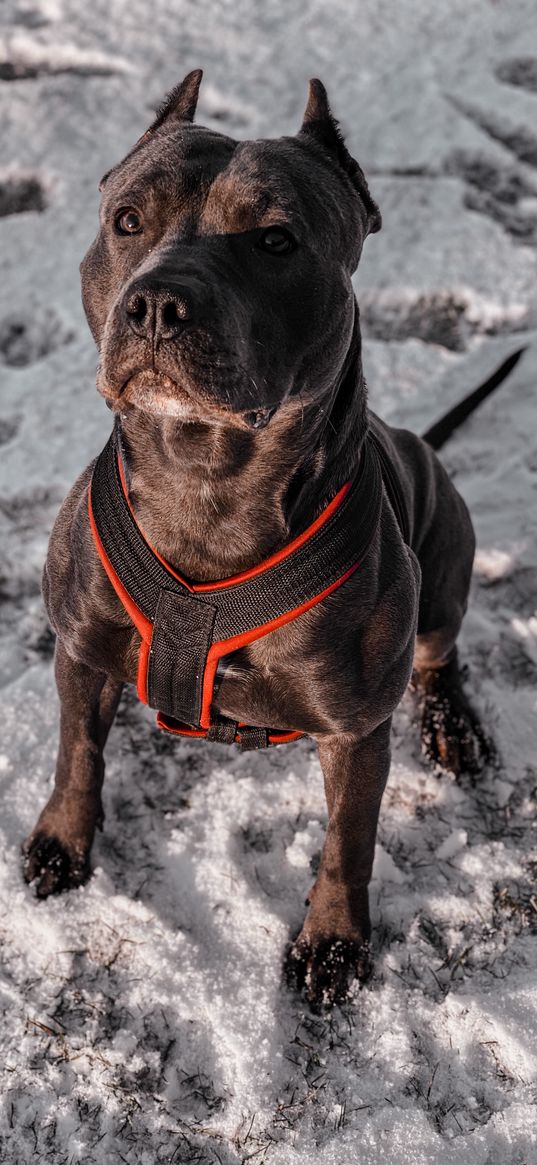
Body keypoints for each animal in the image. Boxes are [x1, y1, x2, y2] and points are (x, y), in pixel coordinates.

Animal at [23, 68, 486, 1006]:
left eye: (276, 239)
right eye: (127, 220)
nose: (156, 302)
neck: (205, 483)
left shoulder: (354, 729)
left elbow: (349, 840)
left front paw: (332, 942)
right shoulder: (81, 649)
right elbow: (77, 754)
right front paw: (62, 841)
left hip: (445, 562)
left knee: (439, 654)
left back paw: (453, 727)